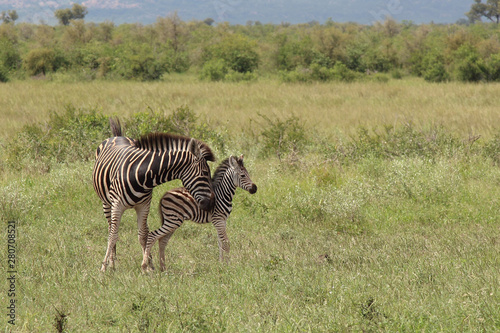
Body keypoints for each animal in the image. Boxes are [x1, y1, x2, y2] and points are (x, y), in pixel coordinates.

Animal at [93, 118, 214, 272]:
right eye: (205, 173)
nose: (210, 203)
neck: (140, 175)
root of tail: (117, 136)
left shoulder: (144, 206)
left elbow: (143, 235)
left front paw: (149, 265)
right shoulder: (117, 205)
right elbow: (113, 235)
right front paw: (104, 267)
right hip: (106, 203)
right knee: (110, 229)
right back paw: (112, 262)